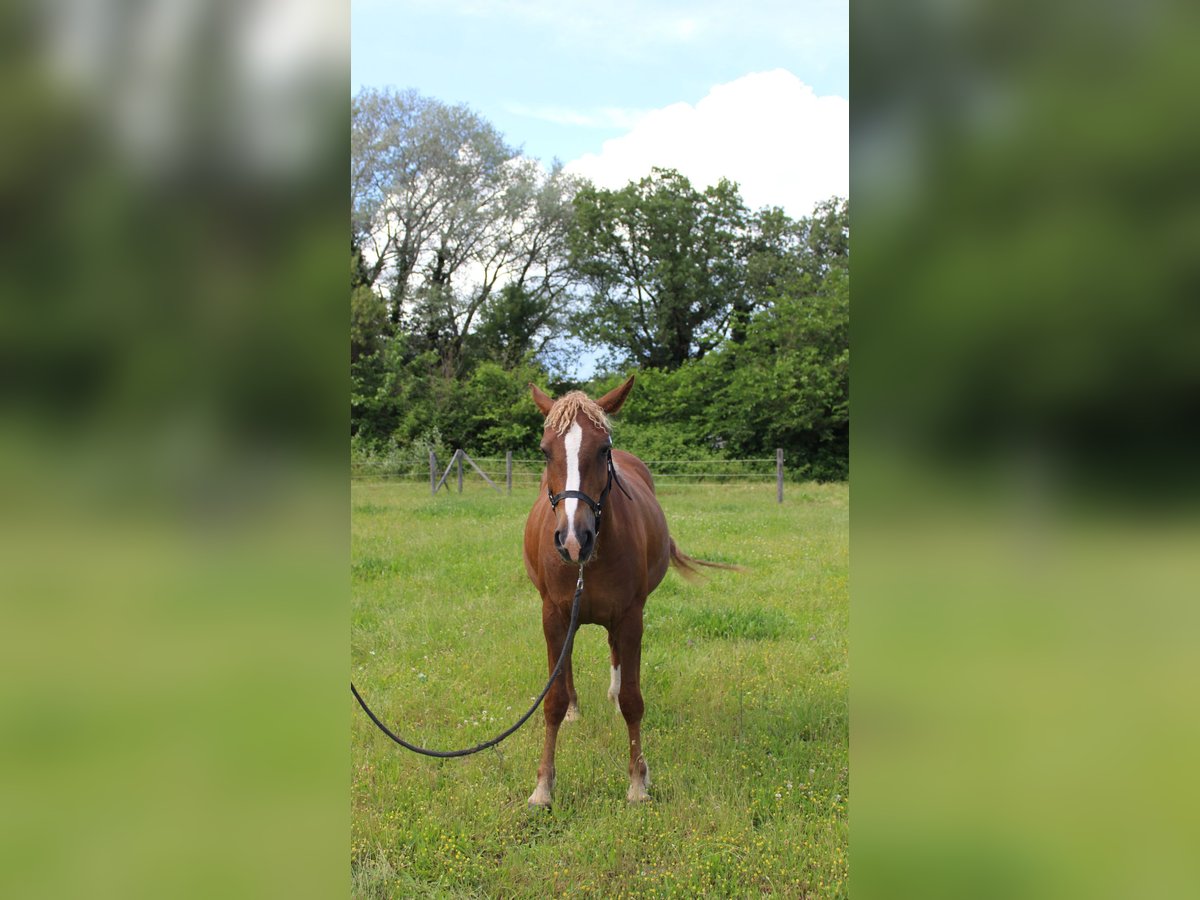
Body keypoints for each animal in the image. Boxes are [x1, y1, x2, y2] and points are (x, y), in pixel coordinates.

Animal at [520, 374, 724, 811]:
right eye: (545, 451)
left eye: (603, 449)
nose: (573, 539)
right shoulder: (553, 615)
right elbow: (552, 699)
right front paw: (544, 786)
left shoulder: (631, 617)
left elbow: (633, 699)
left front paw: (637, 782)